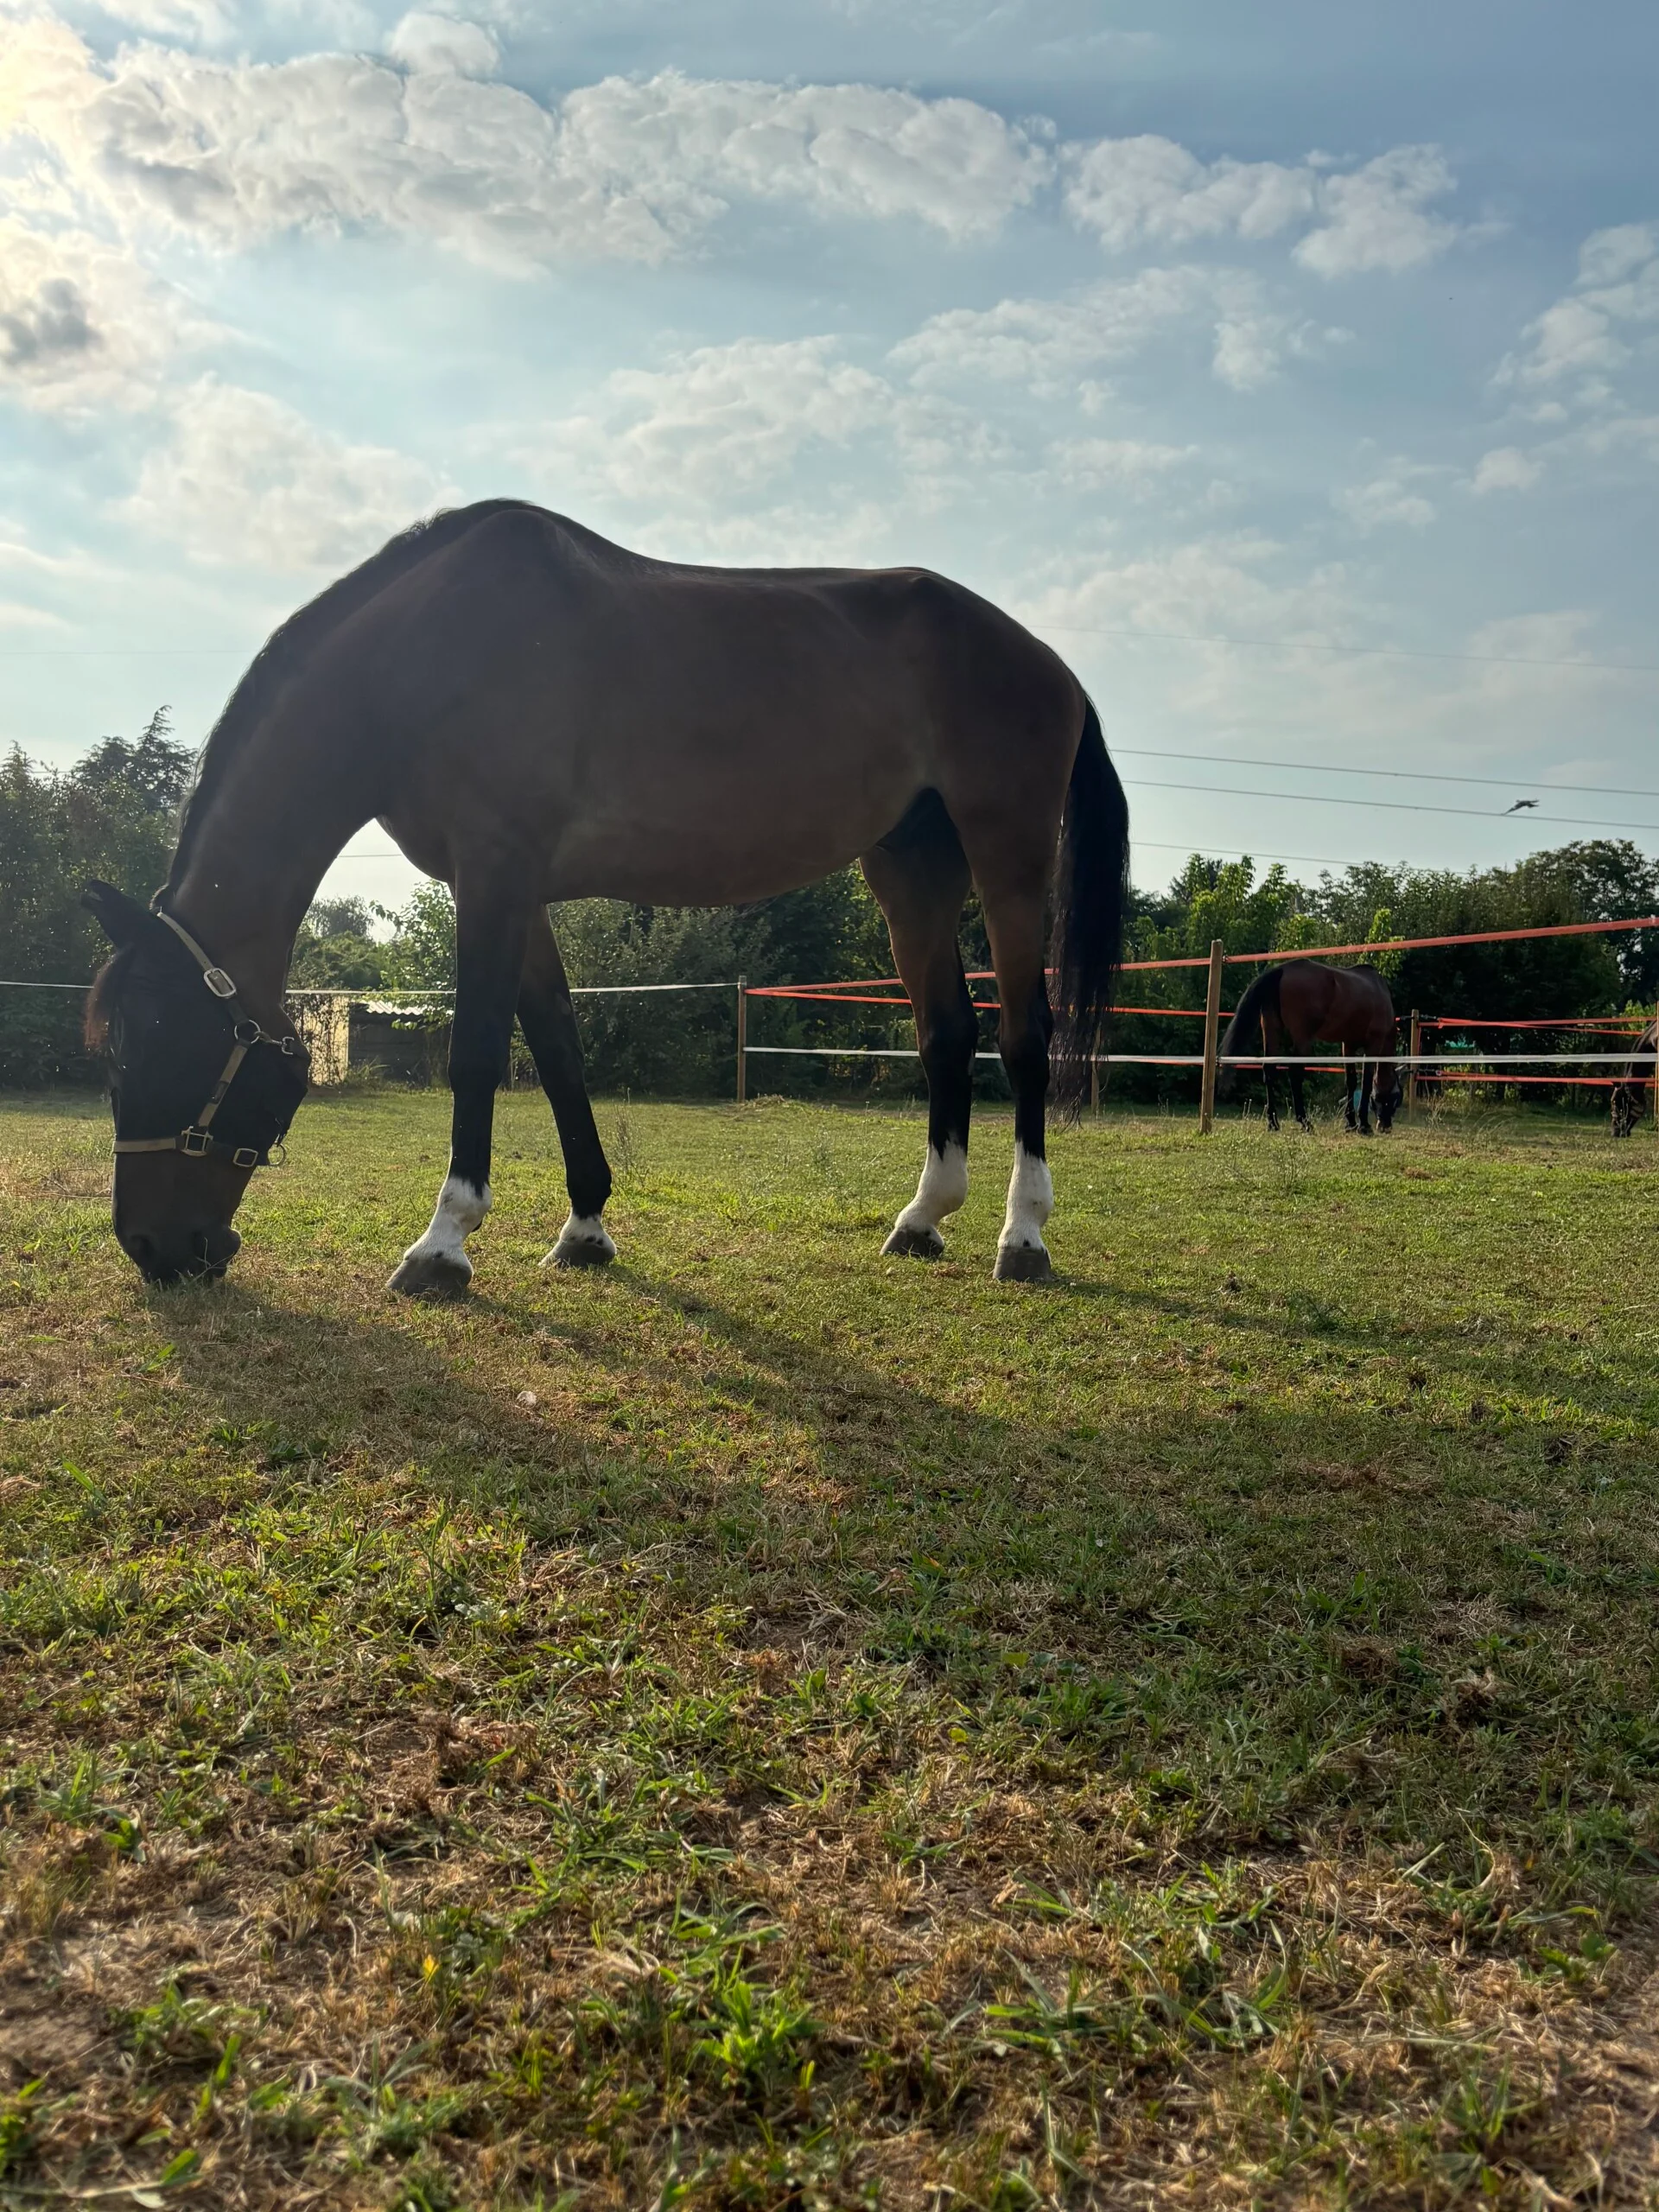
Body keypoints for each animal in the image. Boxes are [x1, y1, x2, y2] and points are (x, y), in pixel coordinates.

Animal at [81, 501, 1130, 1294]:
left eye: (157, 1043)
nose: (153, 1248)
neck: (423, 658)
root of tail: (1051, 663)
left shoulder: (495, 873)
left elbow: (476, 1052)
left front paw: (442, 1244)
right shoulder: (515, 886)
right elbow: (557, 1046)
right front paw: (584, 1228)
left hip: (1008, 856)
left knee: (1023, 1037)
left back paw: (1023, 1236)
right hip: (909, 869)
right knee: (946, 1031)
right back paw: (921, 1219)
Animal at [1216, 958, 1401, 1133]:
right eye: (1396, 1098)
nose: (1386, 1126)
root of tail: (1282, 970)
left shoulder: (1348, 1045)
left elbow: (1351, 1081)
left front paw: (1350, 1123)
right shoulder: (1373, 1044)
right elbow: (1367, 1082)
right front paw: (1363, 1125)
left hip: (1271, 1029)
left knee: (1269, 1071)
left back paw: (1273, 1123)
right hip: (1302, 1038)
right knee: (1295, 1074)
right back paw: (1305, 1122)